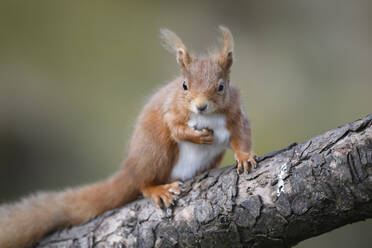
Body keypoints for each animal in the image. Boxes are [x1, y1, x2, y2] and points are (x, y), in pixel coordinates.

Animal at [0, 26, 256, 247]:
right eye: (184, 85)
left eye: (221, 87)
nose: (201, 106)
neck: (207, 117)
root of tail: (130, 167)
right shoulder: (172, 110)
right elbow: (175, 128)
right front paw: (196, 136)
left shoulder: (234, 113)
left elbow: (242, 135)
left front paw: (245, 158)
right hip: (155, 150)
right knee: (142, 182)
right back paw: (157, 189)